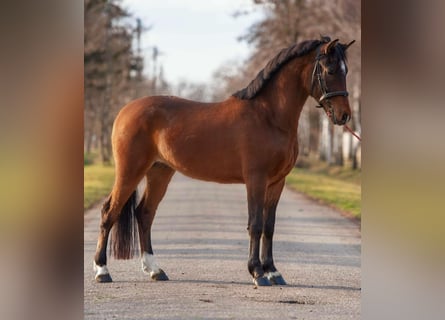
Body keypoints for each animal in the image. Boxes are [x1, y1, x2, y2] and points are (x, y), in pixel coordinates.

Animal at [93, 36, 354, 286]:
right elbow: (255, 224)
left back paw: (155, 270)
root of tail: (125, 111)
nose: (344, 116)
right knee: (109, 212)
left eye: (346, 70)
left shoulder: (277, 182)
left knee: (145, 213)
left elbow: (269, 226)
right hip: (130, 171)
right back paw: (102, 271)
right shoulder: (256, 180)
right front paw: (257, 272)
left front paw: (273, 272)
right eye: (330, 70)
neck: (268, 116)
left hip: (160, 171)